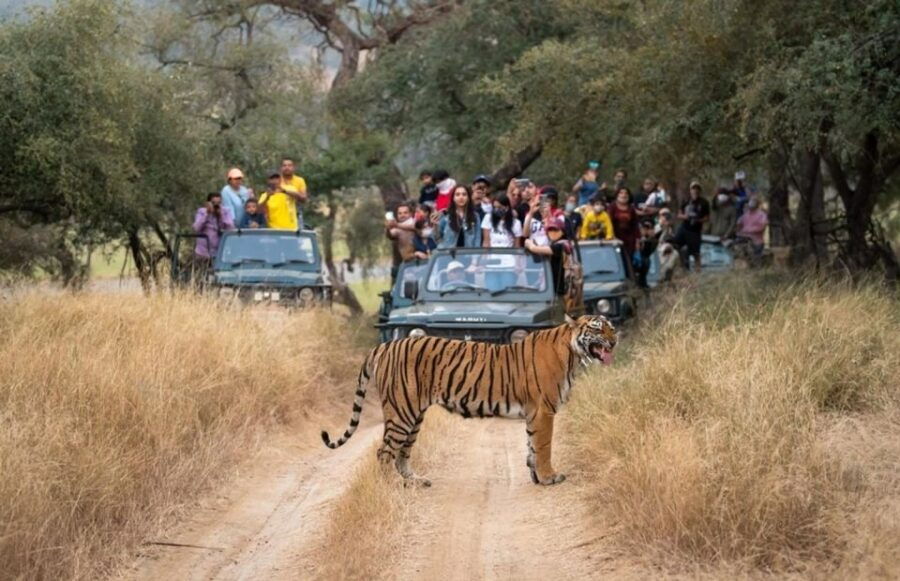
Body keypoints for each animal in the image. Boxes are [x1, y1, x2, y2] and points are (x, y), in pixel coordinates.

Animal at [321, 314, 617, 486]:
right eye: (597, 330)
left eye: (611, 328)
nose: (615, 341)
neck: (573, 354)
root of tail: (385, 345)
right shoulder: (544, 410)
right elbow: (543, 446)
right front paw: (549, 477)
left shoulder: (535, 413)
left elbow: (532, 445)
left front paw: (536, 476)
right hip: (401, 412)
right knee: (384, 452)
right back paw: (391, 487)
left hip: (413, 415)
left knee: (401, 453)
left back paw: (416, 481)